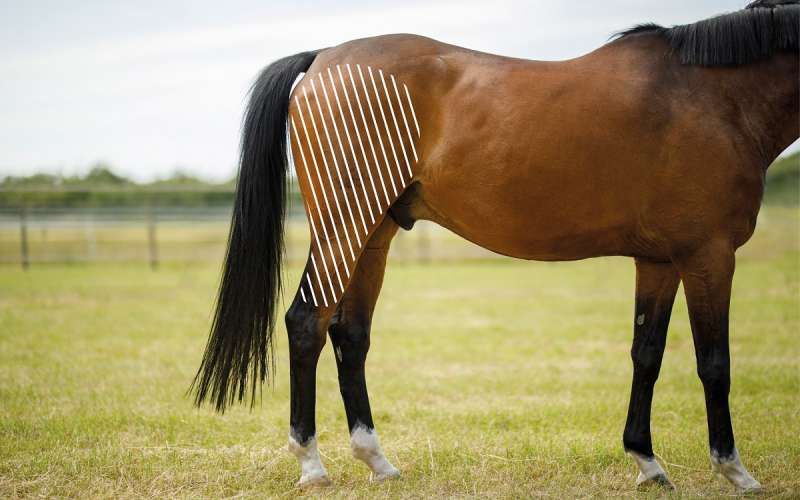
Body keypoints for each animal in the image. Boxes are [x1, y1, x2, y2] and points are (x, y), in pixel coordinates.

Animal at [190, 0, 799, 492]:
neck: (712, 96)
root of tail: (322, 59)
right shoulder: (709, 255)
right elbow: (714, 361)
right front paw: (735, 470)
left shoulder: (658, 260)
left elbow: (645, 354)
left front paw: (647, 464)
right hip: (345, 227)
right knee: (306, 323)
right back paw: (312, 465)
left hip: (374, 237)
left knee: (350, 334)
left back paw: (378, 461)